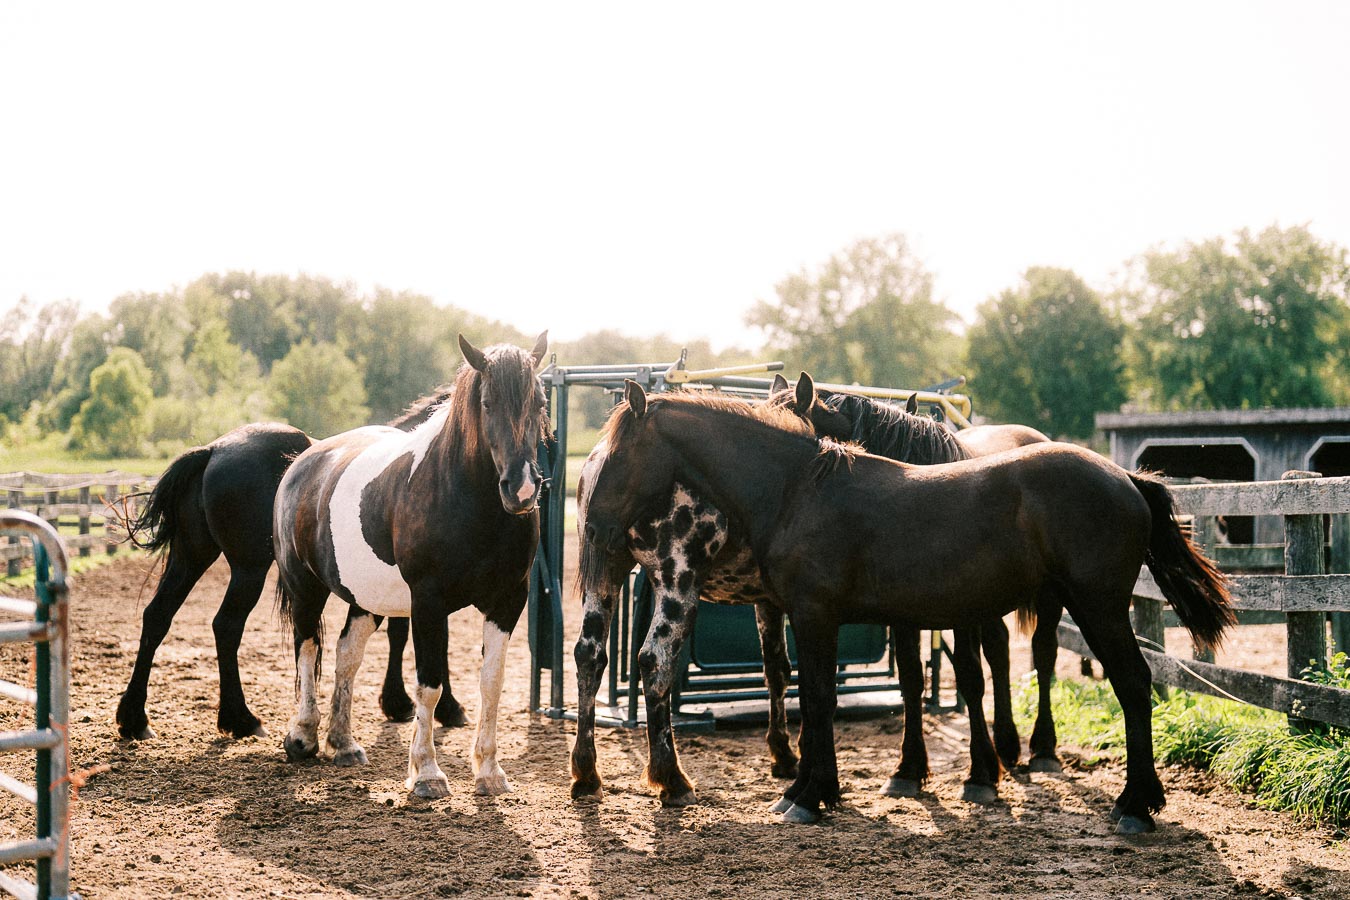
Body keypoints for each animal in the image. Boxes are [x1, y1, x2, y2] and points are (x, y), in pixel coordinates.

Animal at [115, 394, 467, 742]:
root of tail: (212, 450)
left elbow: (402, 633)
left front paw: (398, 701)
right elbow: (432, 640)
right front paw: (440, 706)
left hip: (191, 557)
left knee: (157, 616)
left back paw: (134, 717)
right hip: (249, 569)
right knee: (226, 626)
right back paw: (241, 718)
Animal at [273, 333, 548, 799]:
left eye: (541, 401)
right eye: (487, 402)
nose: (522, 490)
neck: (465, 499)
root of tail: (302, 461)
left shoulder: (509, 601)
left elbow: (490, 684)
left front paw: (489, 771)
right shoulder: (428, 603)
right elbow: (429, 686)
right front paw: (427, 773)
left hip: (365, 600)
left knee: (346, 654)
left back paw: (343, 743)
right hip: (305, 588)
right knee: (307, 648)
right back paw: (303, 736)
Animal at [581, 377, 1233, 833]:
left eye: (614, 456)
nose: (594, 528)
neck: (798, 489)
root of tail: (1125, 478)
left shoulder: (816, 616)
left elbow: (818, 699)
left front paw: (807, 796)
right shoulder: (822, 619)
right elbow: (818, 696)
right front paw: (820, 788)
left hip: (1095, 608)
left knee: (1130, 684)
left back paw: (1132, 805)